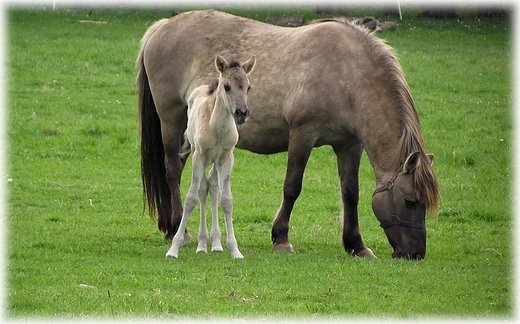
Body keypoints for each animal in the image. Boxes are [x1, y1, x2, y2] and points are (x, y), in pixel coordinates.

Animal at [167, 55, 256, 258]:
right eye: (227, 86)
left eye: (248, 87)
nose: (242, 113)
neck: (217, 129)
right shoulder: (199, 157)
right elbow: (191, 198)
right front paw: (174, 248)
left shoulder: (227, 158)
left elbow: (226, 200)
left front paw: (234, 249)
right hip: (200, 155)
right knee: (202, 189)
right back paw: (202, 244)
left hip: (215, 162)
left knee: (213, 187)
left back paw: (215, 244)